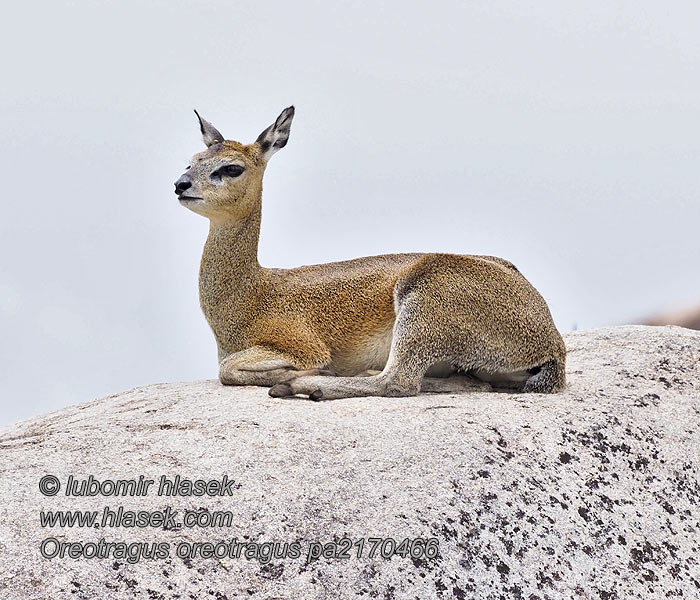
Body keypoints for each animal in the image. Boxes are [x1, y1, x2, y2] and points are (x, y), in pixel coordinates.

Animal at [175, 106, 568, 404]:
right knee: (467, 382)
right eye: (192, 161)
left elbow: (228, 370)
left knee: (398, 381)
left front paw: (302, 374)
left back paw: (302, 386)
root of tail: (551, 343)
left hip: (422, 302)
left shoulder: (301, 346)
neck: (250, 292)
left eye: (232, 167)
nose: (181, 185)